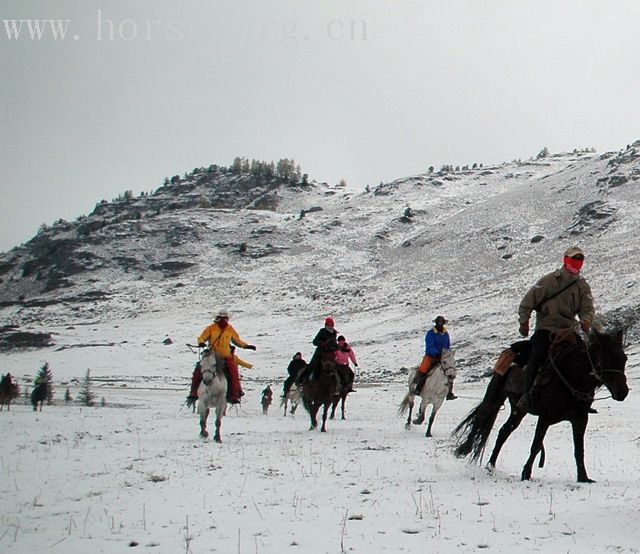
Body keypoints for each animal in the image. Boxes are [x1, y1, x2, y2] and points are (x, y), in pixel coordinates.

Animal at [456, 328, 632, 478]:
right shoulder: (545, 417)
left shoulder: (580, 419)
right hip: (495, 397)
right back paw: (463, 450)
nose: (622, 392)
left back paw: (490, 466)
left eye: (624, 358)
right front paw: (526, 474)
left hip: (518, 409)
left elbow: (579, 449)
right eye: (606, 358)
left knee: (504, 431)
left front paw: (583, 477)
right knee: (482, 417)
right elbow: (536, 445)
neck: (572, 376)